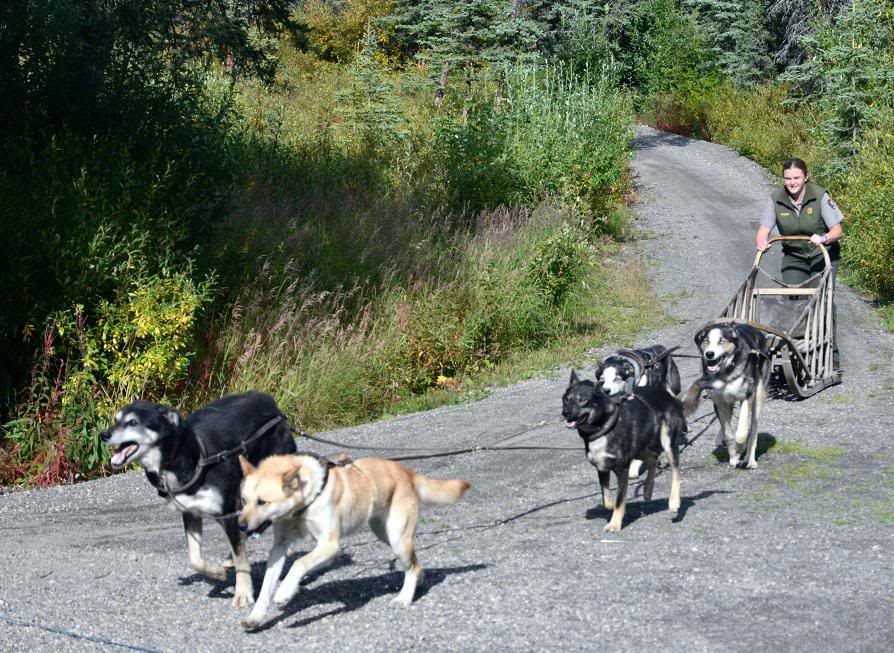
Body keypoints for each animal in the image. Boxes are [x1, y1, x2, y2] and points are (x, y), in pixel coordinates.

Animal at [101, 392, 297, 607]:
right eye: (116, 420)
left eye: (133, 422)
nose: (104, 435)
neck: (178, 457)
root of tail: (272, 404)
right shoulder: (190, 511)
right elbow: (195, 559)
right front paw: (217, 573)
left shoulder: (227, 511)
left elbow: (241, 557)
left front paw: (243, 593)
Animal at [237, 453, 470, 630]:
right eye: (243, 500)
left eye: (262, 502)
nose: (239, 525)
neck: (306, 500)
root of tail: (407, 472)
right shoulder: (279, 547)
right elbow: (265, 588)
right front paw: (255, 617)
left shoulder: (330, 545)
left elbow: (298, 563)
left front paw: (284, 592)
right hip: (384, 533)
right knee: (415, 564)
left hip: (397, 539)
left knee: (411, 566)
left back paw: (404, 597)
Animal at [562, 370, 684, 532]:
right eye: (566, 399)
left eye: (583, 400)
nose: (565, 412)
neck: (603, 427)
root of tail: (663, 391)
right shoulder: (602, 468)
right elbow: (606, 499)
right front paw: (611, 508)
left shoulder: (622, 470)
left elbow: (620, 500)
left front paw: (614, 524)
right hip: (639, 447)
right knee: (652, 458)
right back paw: (647, 489)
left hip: (668, 442)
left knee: (676, 472)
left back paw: (674, 501)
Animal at [595, 344, 682, 478]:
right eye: (602, 380)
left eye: (617, 379)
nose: (606, 390)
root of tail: (661, 348)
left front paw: (634, 467)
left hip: (672, 386)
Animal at [682, 321, 771, 469]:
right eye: (706, 341)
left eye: (722, 341)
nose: (709, 354)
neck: (726, 373)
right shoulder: (719, 402)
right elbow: (728, 433)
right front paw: (733, 455)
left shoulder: (747, 396)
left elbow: (741, 433)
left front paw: (739, 448)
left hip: (758, 397)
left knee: (753, 430)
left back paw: (750, 460)